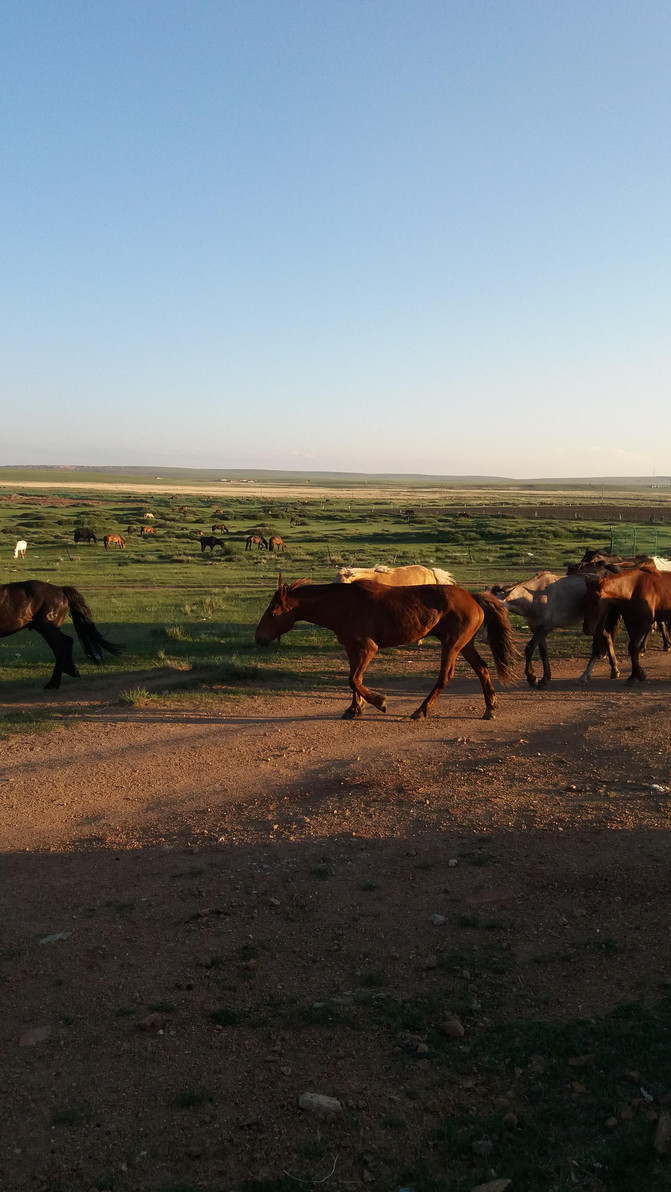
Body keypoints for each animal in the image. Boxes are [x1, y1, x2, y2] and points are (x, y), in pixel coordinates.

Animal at [255, 574, 517, 715]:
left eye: (271, 613)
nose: (259, 638)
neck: (344, 605)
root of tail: (473, 597)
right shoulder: (353, 649)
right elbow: (354, 680)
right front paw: (354, 709)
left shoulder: (367, 648)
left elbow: (354, 680)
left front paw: (379, 702)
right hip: (465, 644)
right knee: (482, 669)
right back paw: (490, 708)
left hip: (452, 644)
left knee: (445, 676)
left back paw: (421, 711)